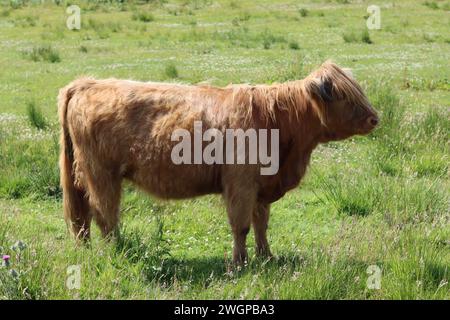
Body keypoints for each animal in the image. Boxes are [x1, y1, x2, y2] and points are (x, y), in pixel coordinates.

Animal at [58, 61, 378, 264]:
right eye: (343, 96)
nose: (375, 118)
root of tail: (86, 84)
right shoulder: (241, 183)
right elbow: (241, 225)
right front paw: (240, 263)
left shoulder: (261, 186)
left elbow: (261, 223)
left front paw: (266, 257)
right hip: (102, 174)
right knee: (104, 215)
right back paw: (119, 251)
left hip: (83, 176)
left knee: (82, 216)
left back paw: (85, 251)